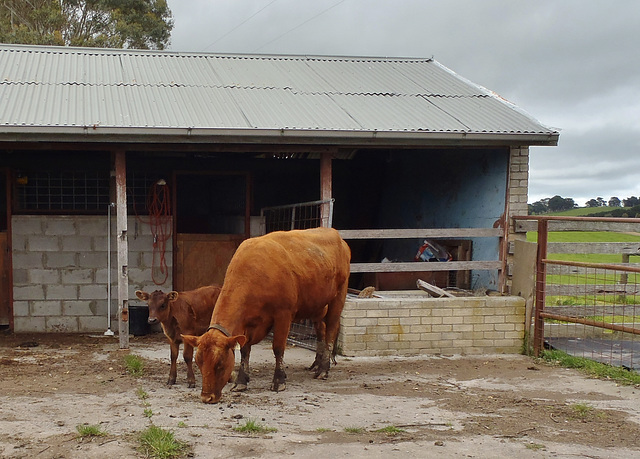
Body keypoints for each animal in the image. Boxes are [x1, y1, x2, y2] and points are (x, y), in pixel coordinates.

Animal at [180, 228, 350, 404]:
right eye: (199, 362)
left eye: (220, 363)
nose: (207, 397)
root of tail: (335, 234)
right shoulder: (248, 323)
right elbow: (245, 350)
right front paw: (241, 381)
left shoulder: (283, 315)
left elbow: (278, 348)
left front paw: (278, 380)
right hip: (317, 306)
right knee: (320, 331)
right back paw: (317, 363)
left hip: (338, 297)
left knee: (330, 331)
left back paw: (323, 369)